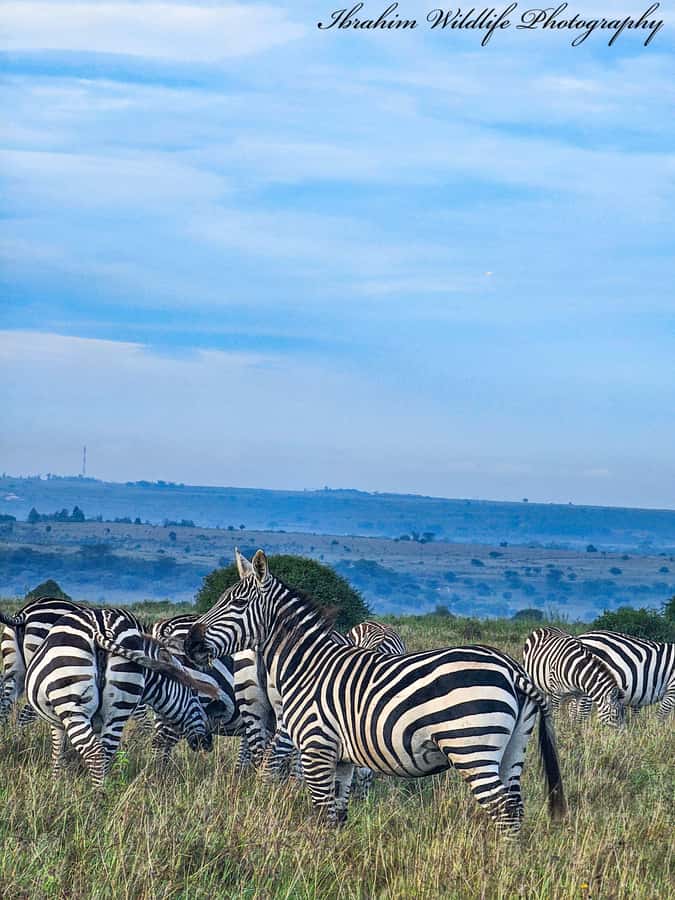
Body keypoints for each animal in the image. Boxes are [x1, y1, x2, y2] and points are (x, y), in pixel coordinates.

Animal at [25, 606, 227, 788]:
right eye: (194, 693)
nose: (208, 742)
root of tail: (101, 629)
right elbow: (60, 751)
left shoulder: (60, 721)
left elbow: (58, 751)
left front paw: (55, 783)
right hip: (115, 708)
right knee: (104, 752)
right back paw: (101, 796)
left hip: (77, 708)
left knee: (96, 753)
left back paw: (96, 799)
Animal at [185, 549, 565, 832]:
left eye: (236, 604)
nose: (190, 642)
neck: (306, 666)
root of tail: (512, 669)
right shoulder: (342, 758)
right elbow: (336, 815)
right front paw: (332, 863)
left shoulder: (315, 747)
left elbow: (320, 811)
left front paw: (314, 864)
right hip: (513, 747)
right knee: (515, 807)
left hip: (472, 745)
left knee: (502, 809)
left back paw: (497, 869)